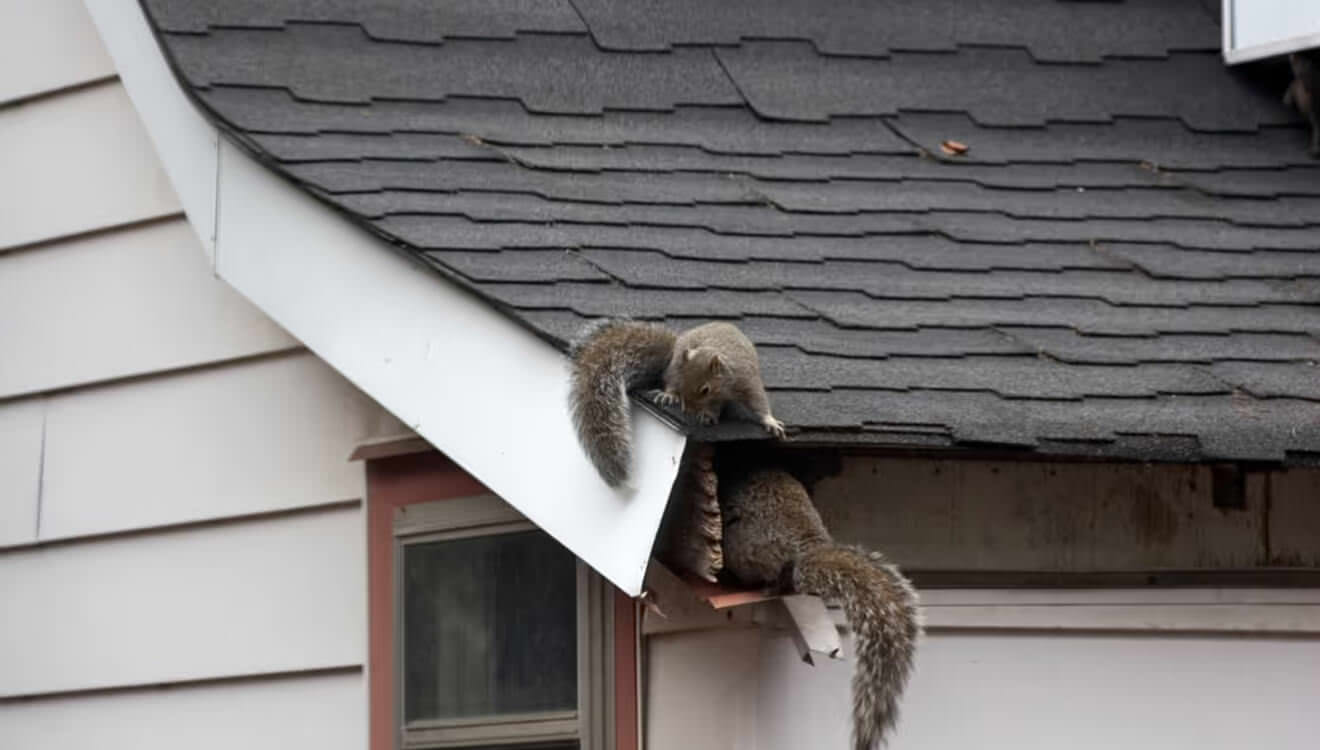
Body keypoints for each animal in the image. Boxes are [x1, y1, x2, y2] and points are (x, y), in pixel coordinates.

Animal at [569, 319, 786, 487]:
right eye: (683, 386)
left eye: (705, 389)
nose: (687, 410)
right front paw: (675, 396)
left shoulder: (745, 380)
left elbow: (758, 401)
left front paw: (770, 421)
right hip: (674, 365)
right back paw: (670, 396)